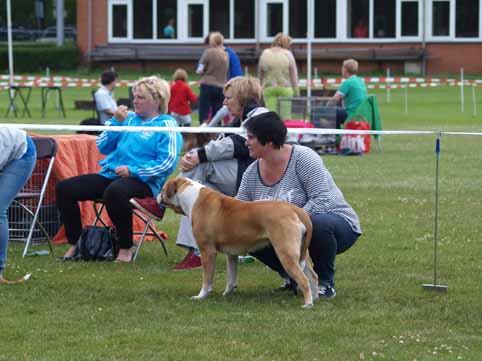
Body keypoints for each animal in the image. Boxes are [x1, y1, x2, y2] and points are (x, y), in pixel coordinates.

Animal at [159, 176, 316, 306]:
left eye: (162, 189)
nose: (158, 197)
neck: (192, 197)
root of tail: (296, 210)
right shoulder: (231, 254)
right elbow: (231, 277)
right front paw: (227, 293)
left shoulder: (207, 251)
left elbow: (207, 278)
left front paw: (201, 295)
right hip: (302, 253)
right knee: (313, 276)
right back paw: (315, 297)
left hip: (286, 253)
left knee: (304, 280)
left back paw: (308, 303)